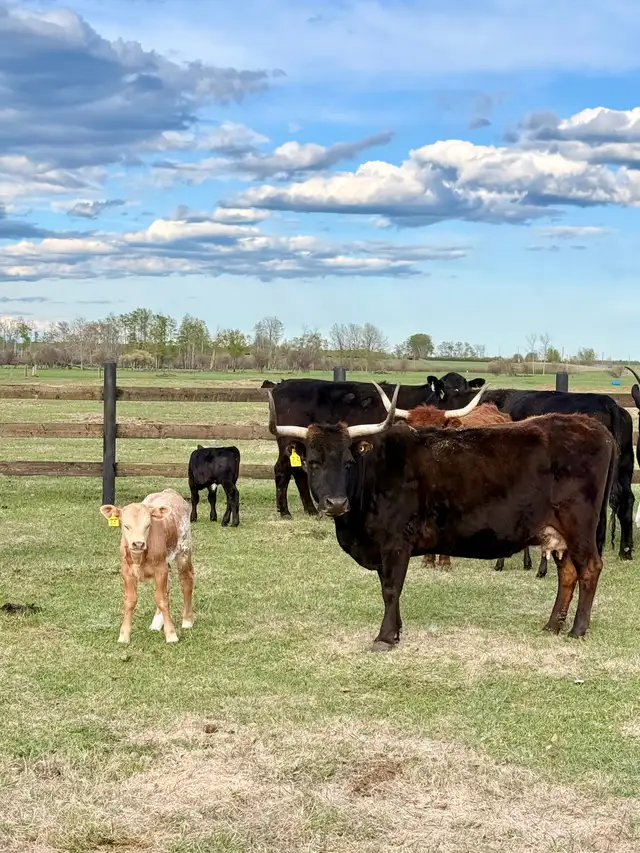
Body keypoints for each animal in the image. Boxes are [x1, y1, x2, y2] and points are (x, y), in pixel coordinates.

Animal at [100, 489, 194, 644]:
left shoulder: (160, 569)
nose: (138, 543)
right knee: (168, 585)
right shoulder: (126, 571)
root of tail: (170, 491)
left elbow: (161, 599)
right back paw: (156, 623)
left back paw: (187, 620)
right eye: (126, 526)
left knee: (186, 580)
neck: (139, 559)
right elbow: (130, 601)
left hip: (184, 550)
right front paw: (124, 635)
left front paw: (171, 635)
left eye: (148, 525)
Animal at [268, 383, 616, 648]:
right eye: (313, 462)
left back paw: (578, 629)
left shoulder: (395, 544)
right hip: (556, 532)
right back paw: (553, 625)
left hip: (579, 527)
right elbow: (389, 589)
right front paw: (396, 631)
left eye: (348, 462)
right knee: (567, 573)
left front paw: (385, 637)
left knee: (589, 569)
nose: (336, 503)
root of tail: (591, 426)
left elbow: (391, 589)